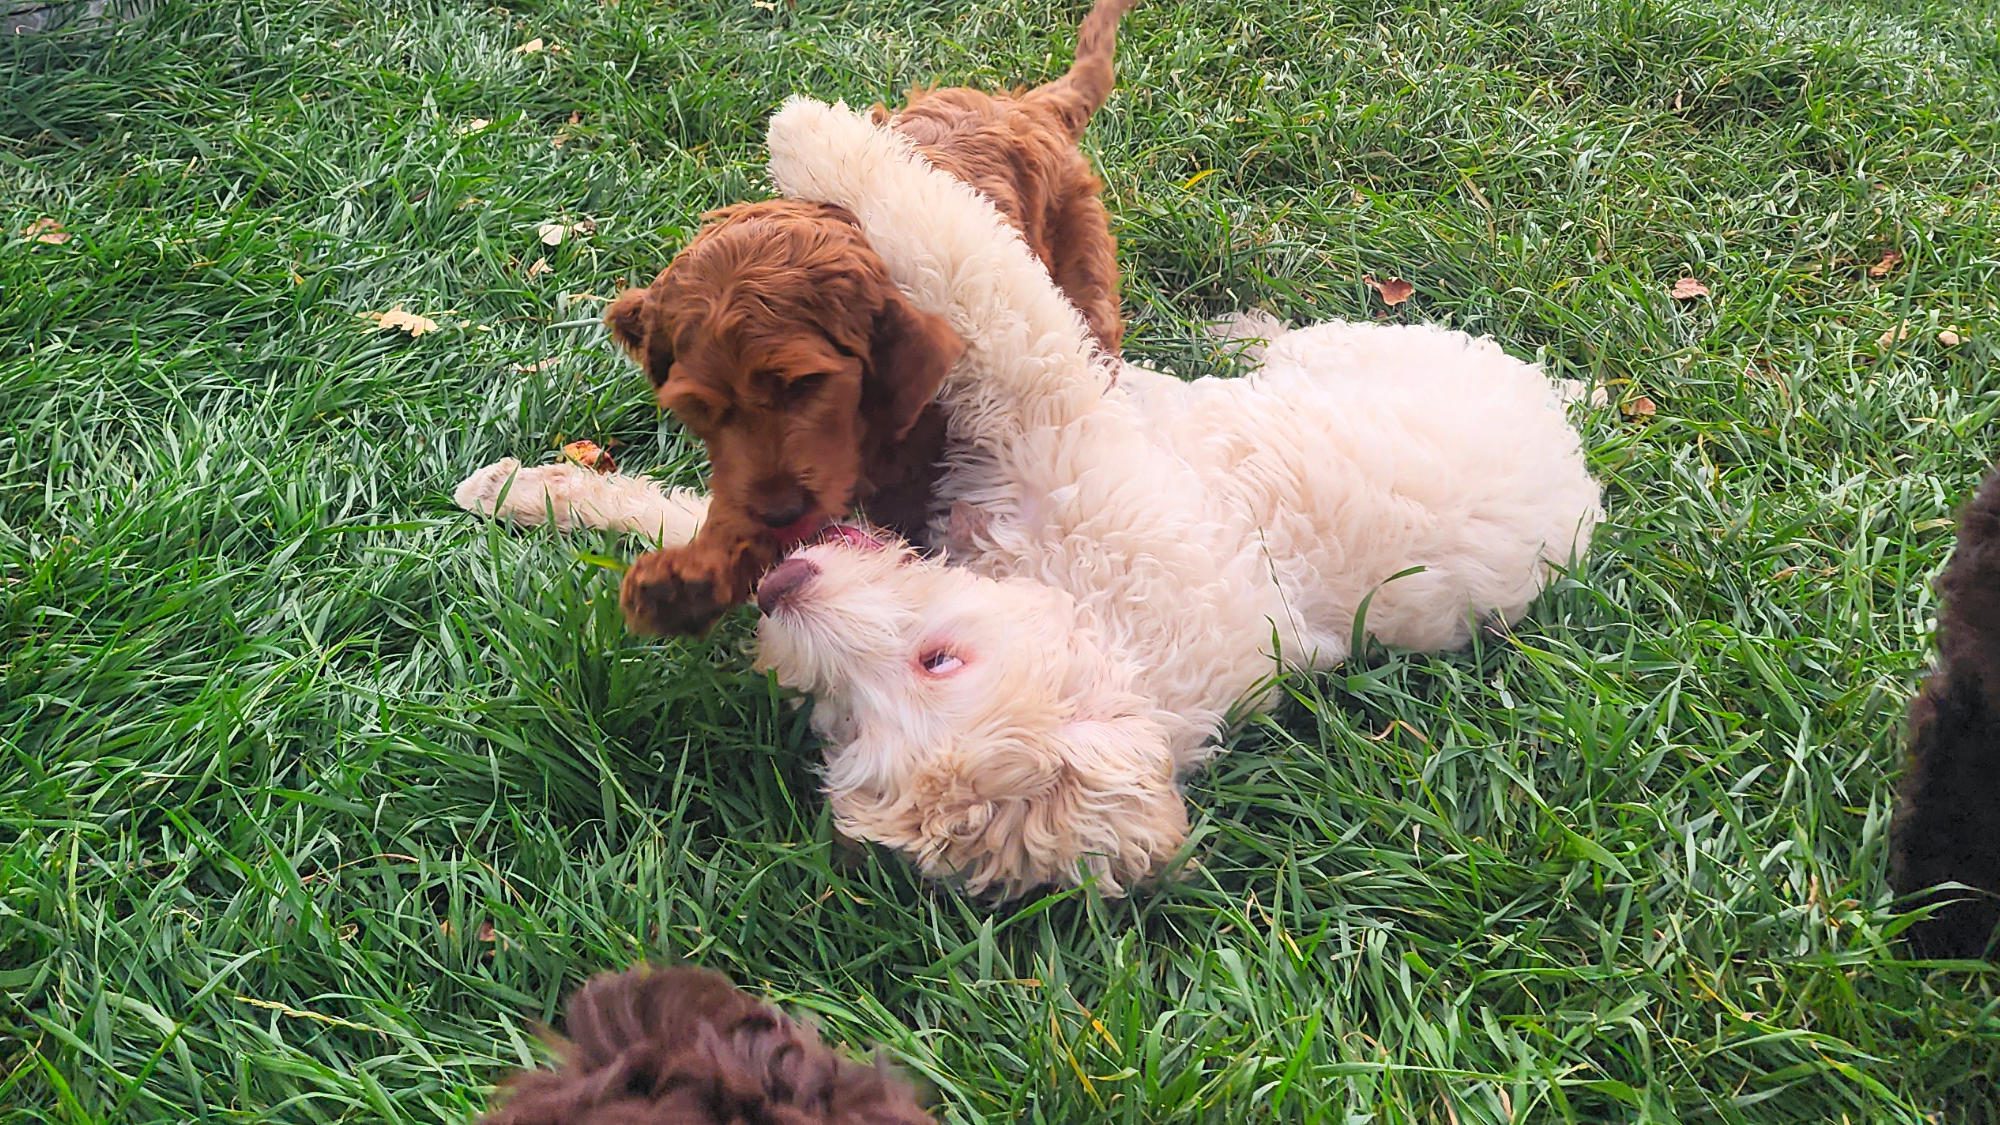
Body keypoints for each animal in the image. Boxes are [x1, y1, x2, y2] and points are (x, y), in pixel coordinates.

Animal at [458, 100, 1608, 896]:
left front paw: (813, 129)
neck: (1100, 618)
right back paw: (1238, 333)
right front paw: (530, 489)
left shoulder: (1040, 391)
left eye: (916, 677)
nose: (784, 599)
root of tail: (1567, 428)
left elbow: (970, 261)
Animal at [600, 0, 1144, 636]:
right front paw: (687, 581)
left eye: (805, 385)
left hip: (1084, 279)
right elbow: (743, 497)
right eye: (697, 411)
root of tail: (1029, 106)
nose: (781, 512)